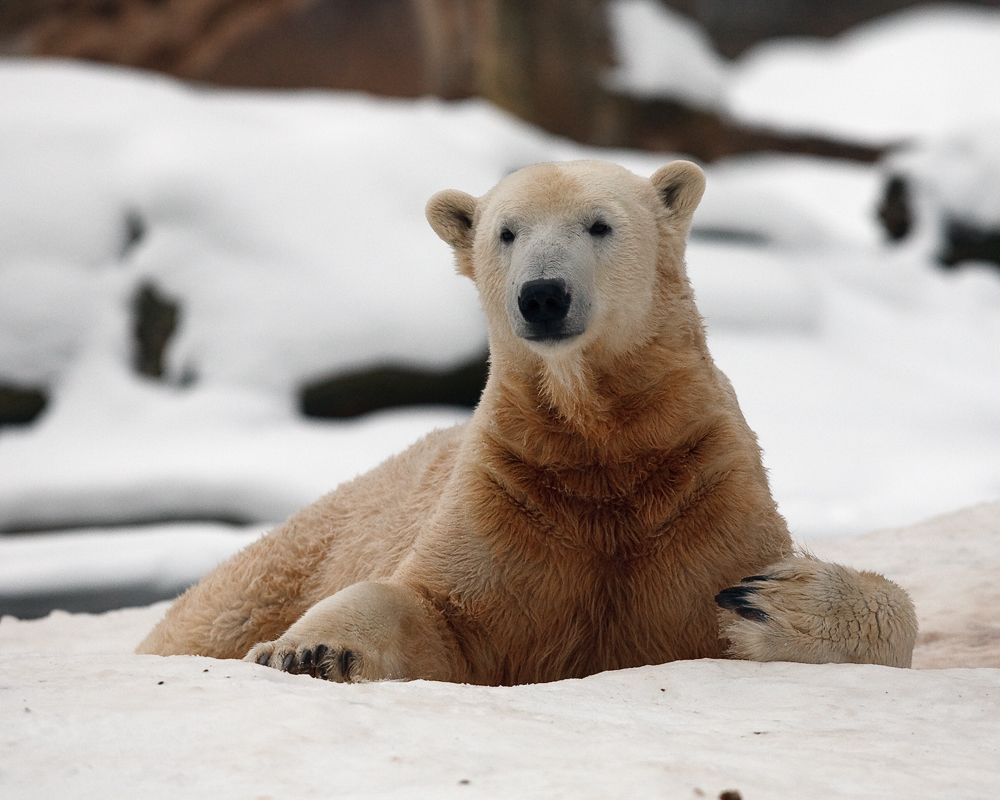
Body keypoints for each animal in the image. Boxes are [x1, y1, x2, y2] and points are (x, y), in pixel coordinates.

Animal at [137, 158, 916, 680]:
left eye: (600, 225)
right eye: (505, 233)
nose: (543, 295)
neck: (600, 443)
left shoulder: (704, 490)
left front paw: (768, 602)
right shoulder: (508, 493)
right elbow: (431, 610)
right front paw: (308, 649)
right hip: (303, 545)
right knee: (215, 612)